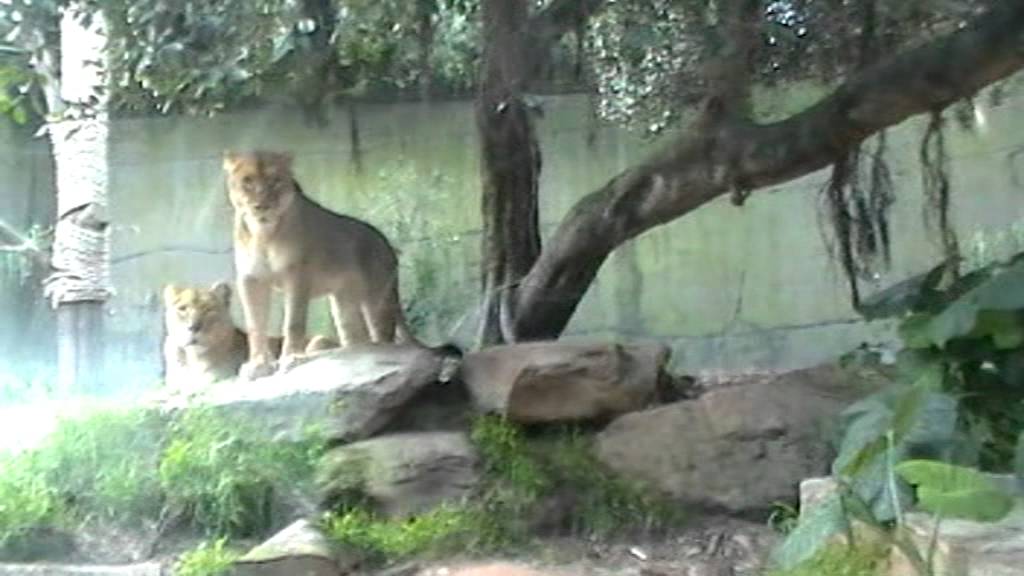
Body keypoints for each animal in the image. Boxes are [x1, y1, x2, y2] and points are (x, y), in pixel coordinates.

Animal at [162, 281, 333, 386]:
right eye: (182, 309)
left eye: (209, 310)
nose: (194, 327)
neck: (192, 357)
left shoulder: (218, 378)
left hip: (319, 340)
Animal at [223, 150, 438, 380]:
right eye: (247, 181)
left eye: (275, 181)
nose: (261, 206)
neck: (263, 234)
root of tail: (388, 245)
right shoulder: (250, 279)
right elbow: (254, 325)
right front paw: (257, 364)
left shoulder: (297, 275)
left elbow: (293, 322)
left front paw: (290, 357)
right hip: (343, 302)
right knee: (354, 334)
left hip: (377, 300)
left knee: (381, 334)